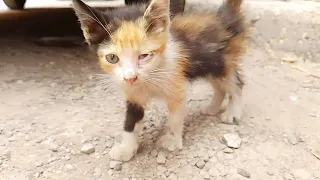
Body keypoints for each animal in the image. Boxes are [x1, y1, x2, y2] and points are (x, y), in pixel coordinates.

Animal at [72, 0, 248, 162]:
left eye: (143, 56)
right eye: (112, 58)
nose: (130, 78)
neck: (150, 77)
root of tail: (224, 15)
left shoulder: (177, 86)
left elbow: (175, 118)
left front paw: (172, 140)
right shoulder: (133, 95)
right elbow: (130, 122)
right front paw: (126, 148)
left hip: (222, 64)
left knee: (236, 84)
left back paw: (232, 112)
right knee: (220, 87)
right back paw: (212, 108)